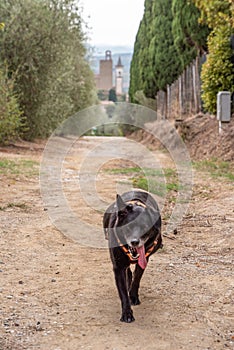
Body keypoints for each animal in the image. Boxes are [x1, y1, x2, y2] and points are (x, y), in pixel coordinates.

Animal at [103, 191, 162, 322]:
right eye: (129, 226)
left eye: (145, 227)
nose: (135, 242)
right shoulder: (118, 267)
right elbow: (123, 292)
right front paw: (127, 314)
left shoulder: (144, 259)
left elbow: (137, 279)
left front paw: (133, 296)